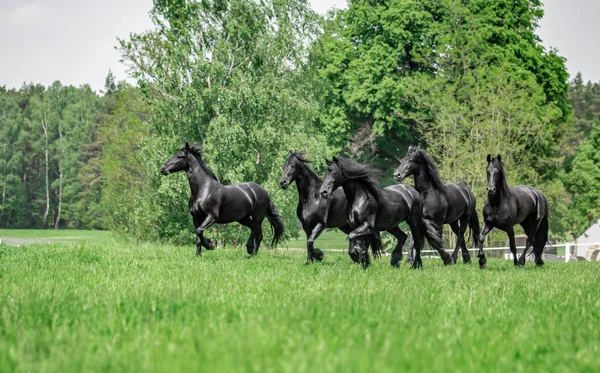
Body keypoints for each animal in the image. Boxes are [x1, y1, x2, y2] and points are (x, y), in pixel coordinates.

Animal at [318, 155, 446, 268]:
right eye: (326, 172)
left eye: (334, 172)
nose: (323, 192)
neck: (359, 199)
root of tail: (413, 192)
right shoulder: (356, 226)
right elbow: (361, 244)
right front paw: (364, 264)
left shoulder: (367, 226)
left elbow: (352, 236)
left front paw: (356, 257)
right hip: (391, 225)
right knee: (402, 236)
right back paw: (395, 261)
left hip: (413, 222)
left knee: (417, 243)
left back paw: (416, 265)